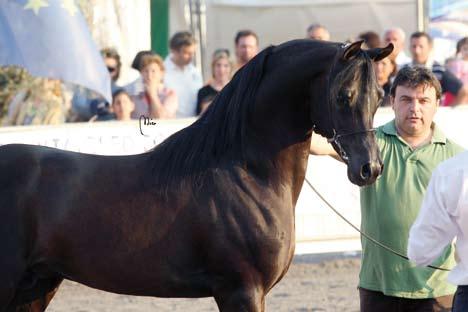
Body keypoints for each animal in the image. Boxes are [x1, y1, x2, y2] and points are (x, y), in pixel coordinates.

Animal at [0, 39, 392, 310]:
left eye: (379, 96)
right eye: (344, 95)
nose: (369, 168)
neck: (245, 173)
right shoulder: (241, 291)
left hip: (37, 286)